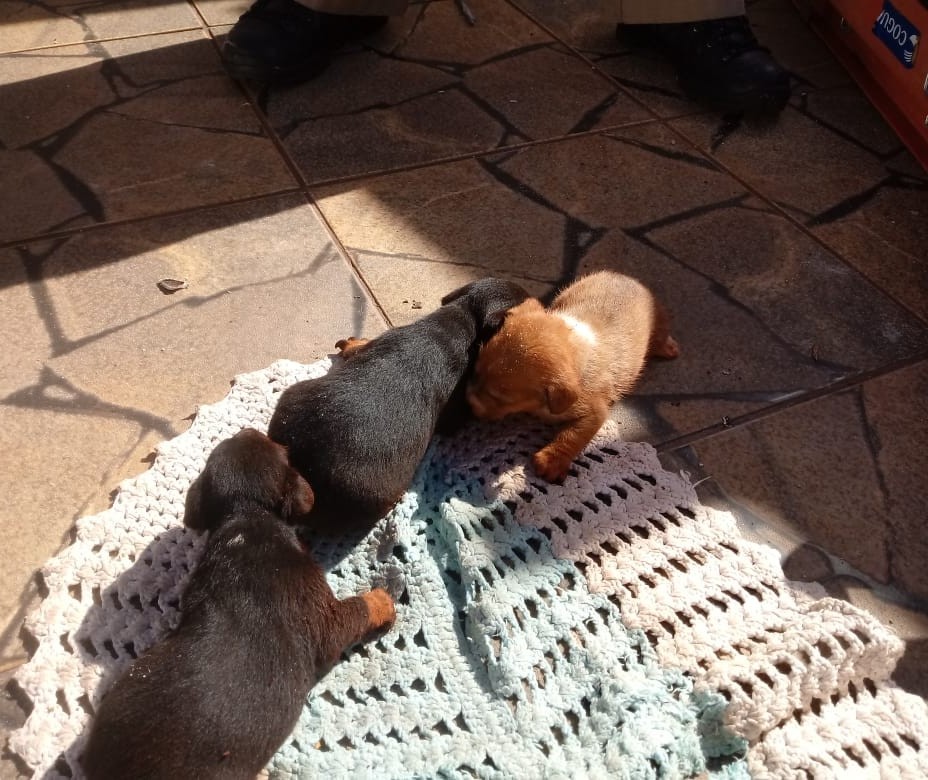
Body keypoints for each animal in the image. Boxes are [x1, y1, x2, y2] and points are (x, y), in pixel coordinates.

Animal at [468, 272, 676, 484]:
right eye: (475, 371)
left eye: (499, 397)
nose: (469, 402)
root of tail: (626, 277)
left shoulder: (594, 412)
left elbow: (573, 435)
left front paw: (551, 460)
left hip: (657, 320)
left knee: (660, 335)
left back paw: (667, 348)